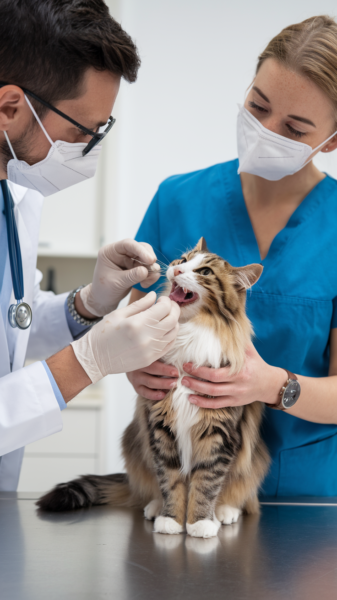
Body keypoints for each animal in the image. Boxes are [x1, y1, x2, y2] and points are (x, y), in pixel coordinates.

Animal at [37, 238, 268, 540]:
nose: (177, 270)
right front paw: (171, 519)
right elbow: (170, 480)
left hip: (252, 461)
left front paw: (199, 522)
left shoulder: (219, 433)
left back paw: (224, 512)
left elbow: (206, 483)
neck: (187, 332)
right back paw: (156, 507)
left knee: (239, 493)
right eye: (183, 260)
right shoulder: (160, 427)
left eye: (205, 272)